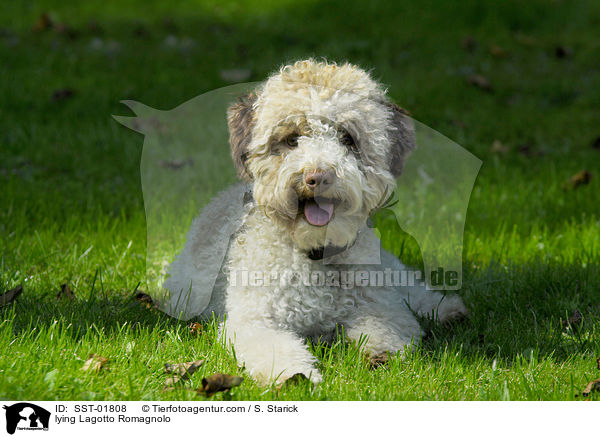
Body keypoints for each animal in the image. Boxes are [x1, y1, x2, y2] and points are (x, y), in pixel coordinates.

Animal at [165, 59, 468, 384]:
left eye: (347, 138)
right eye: (291, 139)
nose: (317, 176)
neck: (314, 253)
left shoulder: (380, 305)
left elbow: (389, 326)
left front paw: (382, 354)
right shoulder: (254, 321)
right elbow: (274, 348)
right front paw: (295, 374)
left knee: (413, 289)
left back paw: (447, 310)